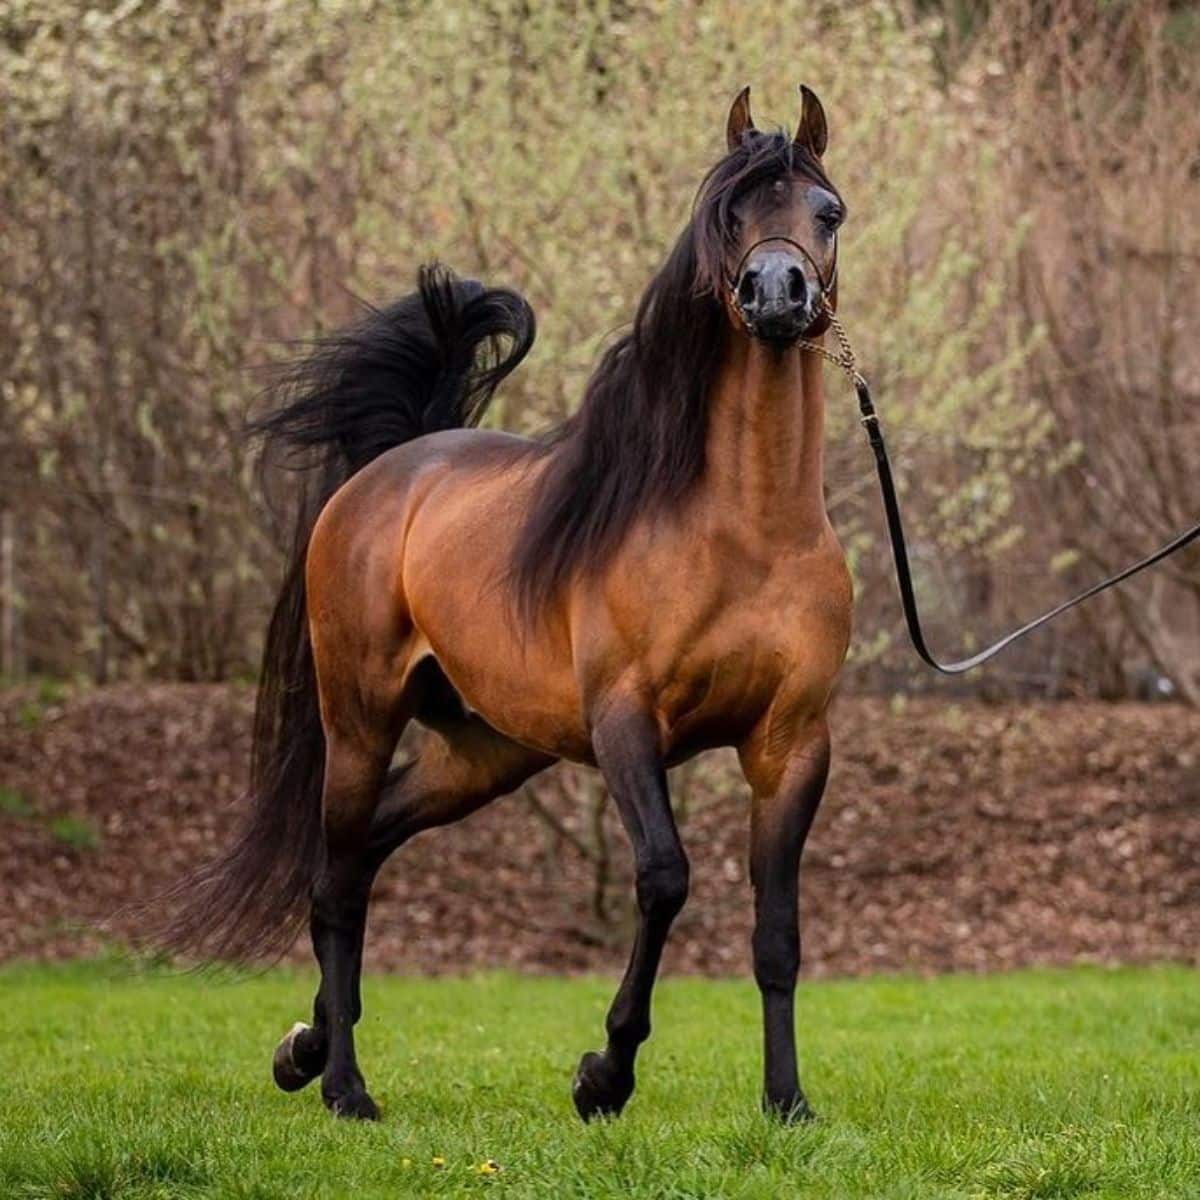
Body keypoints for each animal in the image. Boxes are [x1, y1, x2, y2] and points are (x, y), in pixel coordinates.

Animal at [166, 87, 854, 1123]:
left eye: (828, 212)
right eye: (732, 212)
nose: (778, 294)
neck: (751, 533)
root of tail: (386, 473)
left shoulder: (791, 745)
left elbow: (778, 933)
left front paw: (788, 1105)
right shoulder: (625, 723)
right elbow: (664, 879)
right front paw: (604, 1074)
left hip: (484, 752)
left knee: (368, 850)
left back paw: (304, 1049)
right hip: (359, 721)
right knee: (335, 884)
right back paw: (345, 1089)